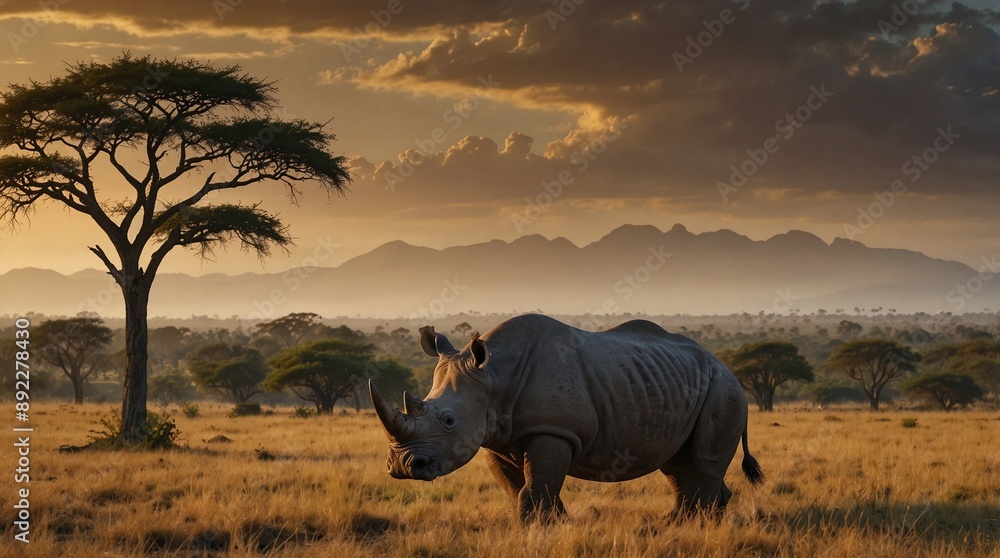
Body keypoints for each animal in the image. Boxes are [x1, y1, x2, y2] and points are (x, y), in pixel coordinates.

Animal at [369, 314, 763, 521]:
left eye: (449, 421)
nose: (403, 466)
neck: (494, 376)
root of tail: (726, 366)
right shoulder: (496, 438)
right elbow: (522, 490)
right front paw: (555, 525)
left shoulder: (554, 430)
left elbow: (535, 490)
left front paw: (538, 531)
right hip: (682, 386)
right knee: (678, 463)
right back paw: (680, 525)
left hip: (723, 390)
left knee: (703, 459)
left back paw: (696, 525)